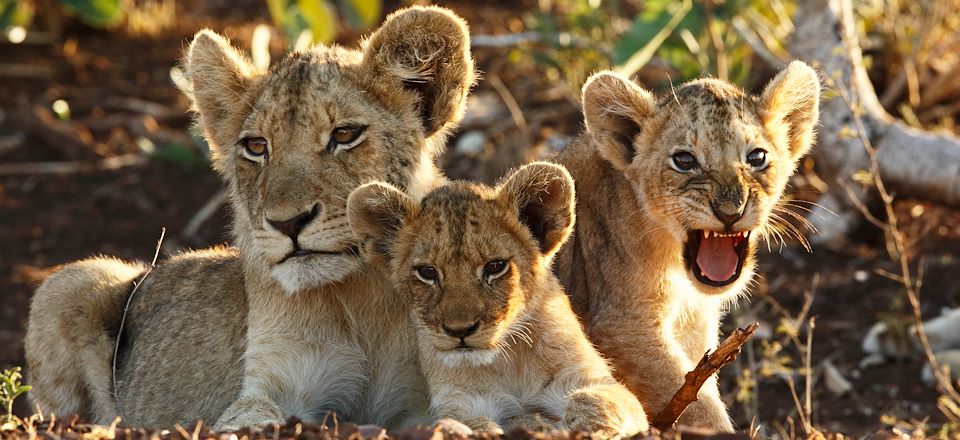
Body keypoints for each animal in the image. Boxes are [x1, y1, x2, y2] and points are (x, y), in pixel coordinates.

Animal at [28, 6, 478, 430]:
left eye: (345, 135)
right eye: (257, 146)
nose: (287, 223)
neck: (362, 303)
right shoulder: (271, 380)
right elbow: (247, 417)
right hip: (72, 280)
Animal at [348, 163, 648, 438]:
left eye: (495, 266)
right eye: (427, 272)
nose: (460, 331)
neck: (508, 361)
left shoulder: (589, 378)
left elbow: (600, 401)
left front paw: (586, 427)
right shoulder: (459, 401)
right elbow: (466, 423)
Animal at [552, 62, 820, 430]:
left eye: (756, 157)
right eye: (684, 160)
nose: (730, 211)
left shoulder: (694, 330)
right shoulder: (622, 327)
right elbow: (700, 409)